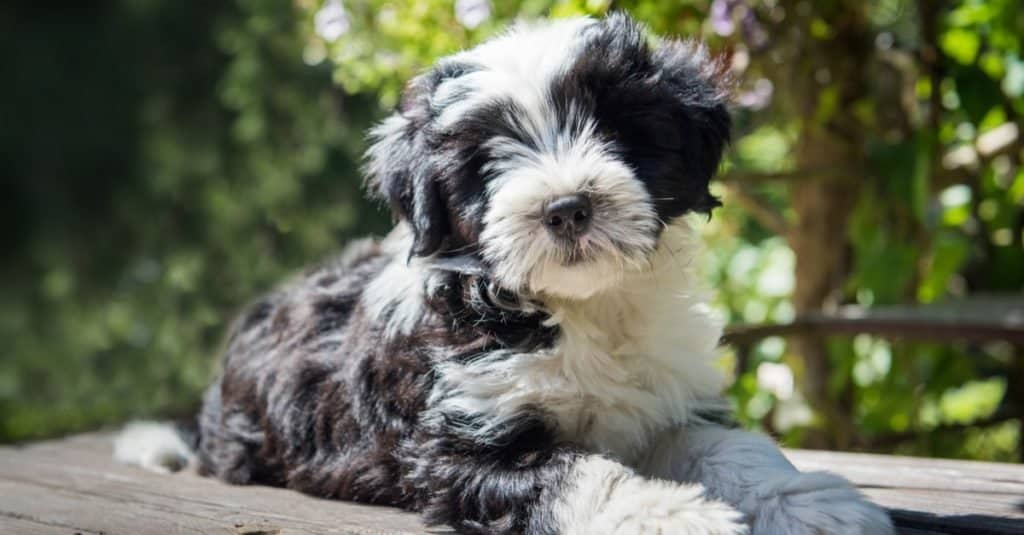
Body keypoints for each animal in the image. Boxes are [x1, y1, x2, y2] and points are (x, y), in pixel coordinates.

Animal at [116, 12, 892, 532]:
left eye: (618, 129)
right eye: (485, 161)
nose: (567, 208)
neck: (579, 308)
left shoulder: (667, 399)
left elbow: (732, 446)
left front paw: (812, 500)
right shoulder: (456, 447)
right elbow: (577, 472)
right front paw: (672, 514)